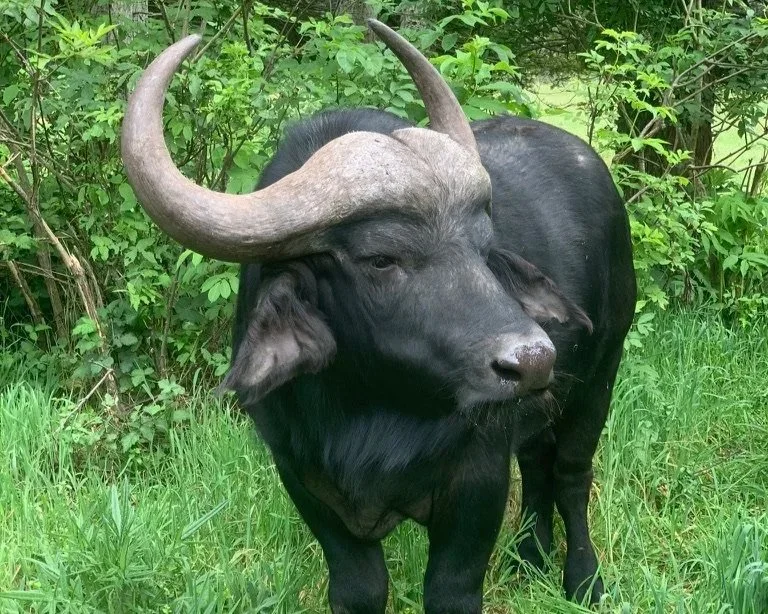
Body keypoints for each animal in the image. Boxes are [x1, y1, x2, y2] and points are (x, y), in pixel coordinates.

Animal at [122, 20, 636, 613]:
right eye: (381, 258)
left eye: (484, 248)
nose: (530, 361)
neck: (370, 415)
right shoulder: (306, 485)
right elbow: (359, 589)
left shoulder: (476, 486)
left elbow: (452, 589)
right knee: (535, 461)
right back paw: (528, 558)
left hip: (599, 378)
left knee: (571, 475)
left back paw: (584, 580)